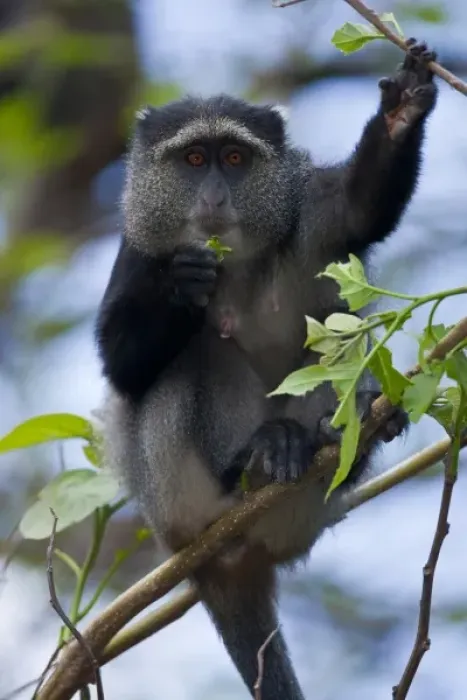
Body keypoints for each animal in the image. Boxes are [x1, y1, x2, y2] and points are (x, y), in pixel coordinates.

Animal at [96, 40, 437, 700]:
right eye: (193, 158)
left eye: (234, 158)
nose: (213, 196)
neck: (235, 262)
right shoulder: (137, 251)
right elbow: (121, 366)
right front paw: (183, 285)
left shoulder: (306, 210)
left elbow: (359, 212)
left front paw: (402, 110)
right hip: (174, 493)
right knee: (202, 353)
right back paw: (251, 459)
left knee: (332, 344)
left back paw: (347, 431)